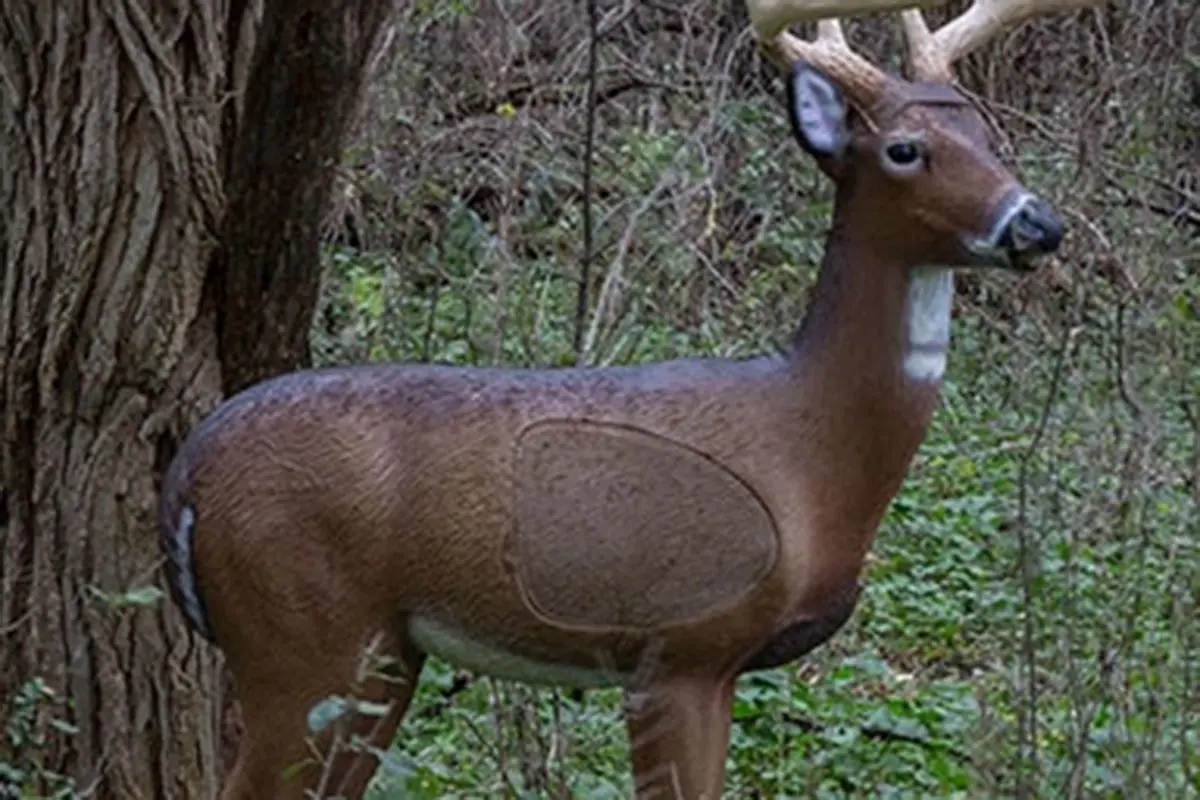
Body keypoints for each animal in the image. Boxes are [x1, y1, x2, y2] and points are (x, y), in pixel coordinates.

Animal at [159, 0, 1097, 796]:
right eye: (904, 147)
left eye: (988, 132)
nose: (1037, 226)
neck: (806, 450)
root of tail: (187, 475)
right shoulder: (683, 643)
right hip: (301, 628)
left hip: (380, 652)